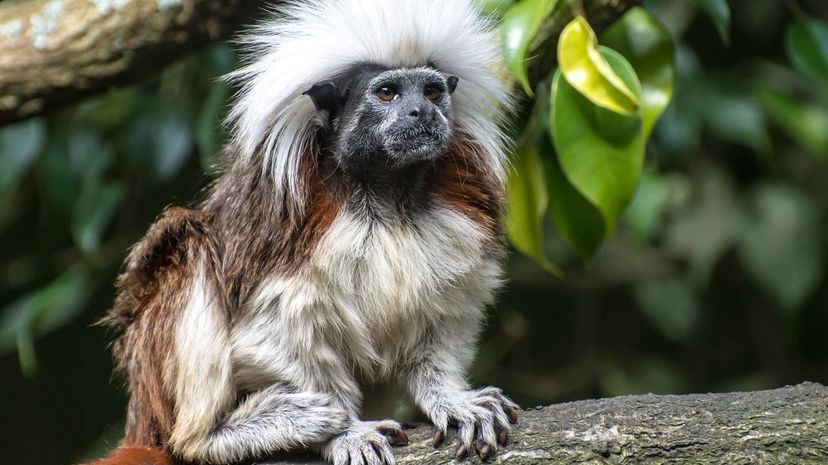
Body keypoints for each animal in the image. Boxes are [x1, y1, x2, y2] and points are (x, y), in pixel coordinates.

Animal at [84, 0, 516, 464]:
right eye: (388, 93)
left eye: (433, 92)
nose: (423, 112)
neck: (386, 197)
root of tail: (140, 419)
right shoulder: (284, 231)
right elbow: (273, 332)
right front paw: (345, 431)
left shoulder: (460, 220)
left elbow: (444, 319)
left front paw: (451, 400)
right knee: (192, 245)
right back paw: (218, 434)